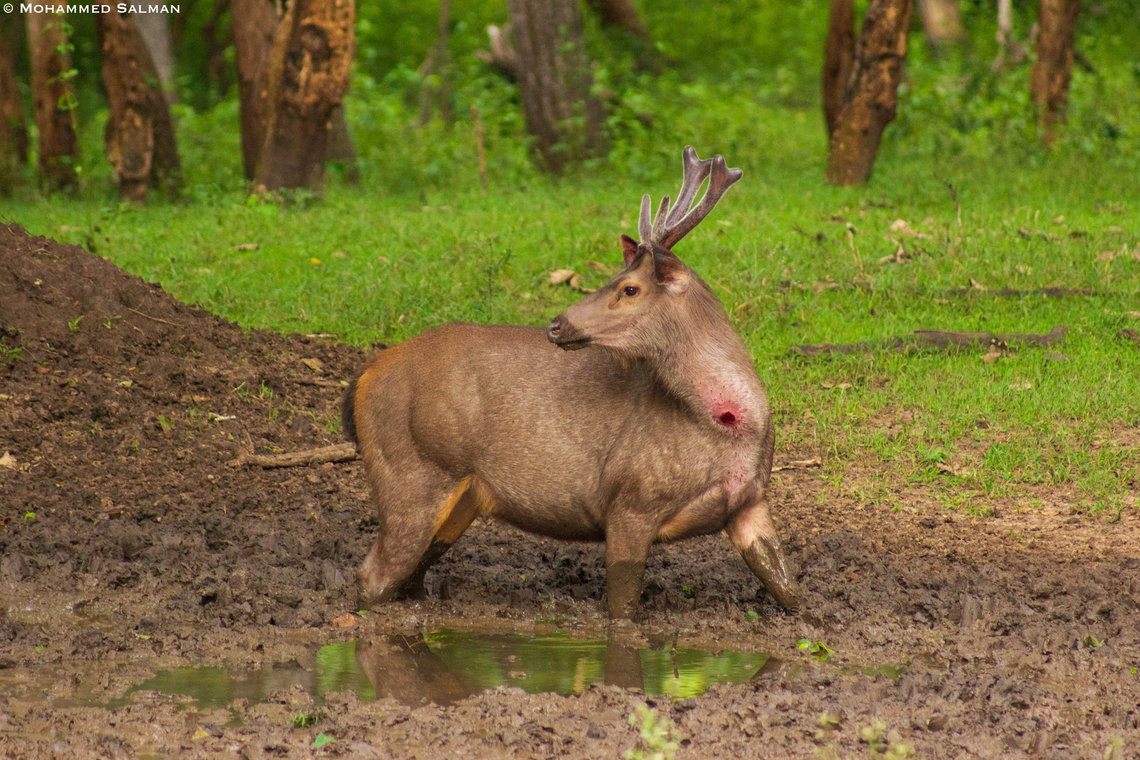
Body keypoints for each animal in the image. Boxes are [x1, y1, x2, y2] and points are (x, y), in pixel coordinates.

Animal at [342, 146, 802, 620]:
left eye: (630, 288)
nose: (556, 324)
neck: (728, 425)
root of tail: (364, 377)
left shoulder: (750, 503)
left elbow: (788, 589)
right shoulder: (630, 498)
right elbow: (621, 608)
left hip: (458, 497)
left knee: (410, 572)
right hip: (410, 471)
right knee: (373, 576)